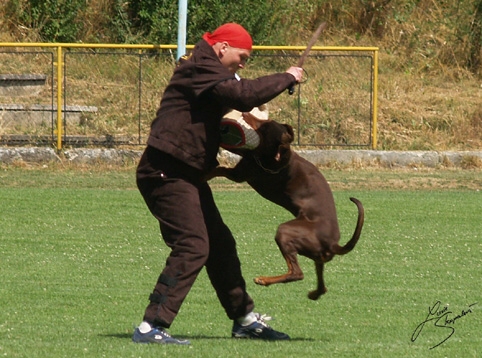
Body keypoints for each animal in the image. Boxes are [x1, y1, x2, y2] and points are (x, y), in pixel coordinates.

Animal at [209, 120, 364, 300]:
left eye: (266, 127)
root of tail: (333, 244)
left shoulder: (241, 172)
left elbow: (219, 169)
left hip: (286, 232)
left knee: (296, 272)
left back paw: (264, 280)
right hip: (317, 256)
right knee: (321, 286)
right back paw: (314, 293)